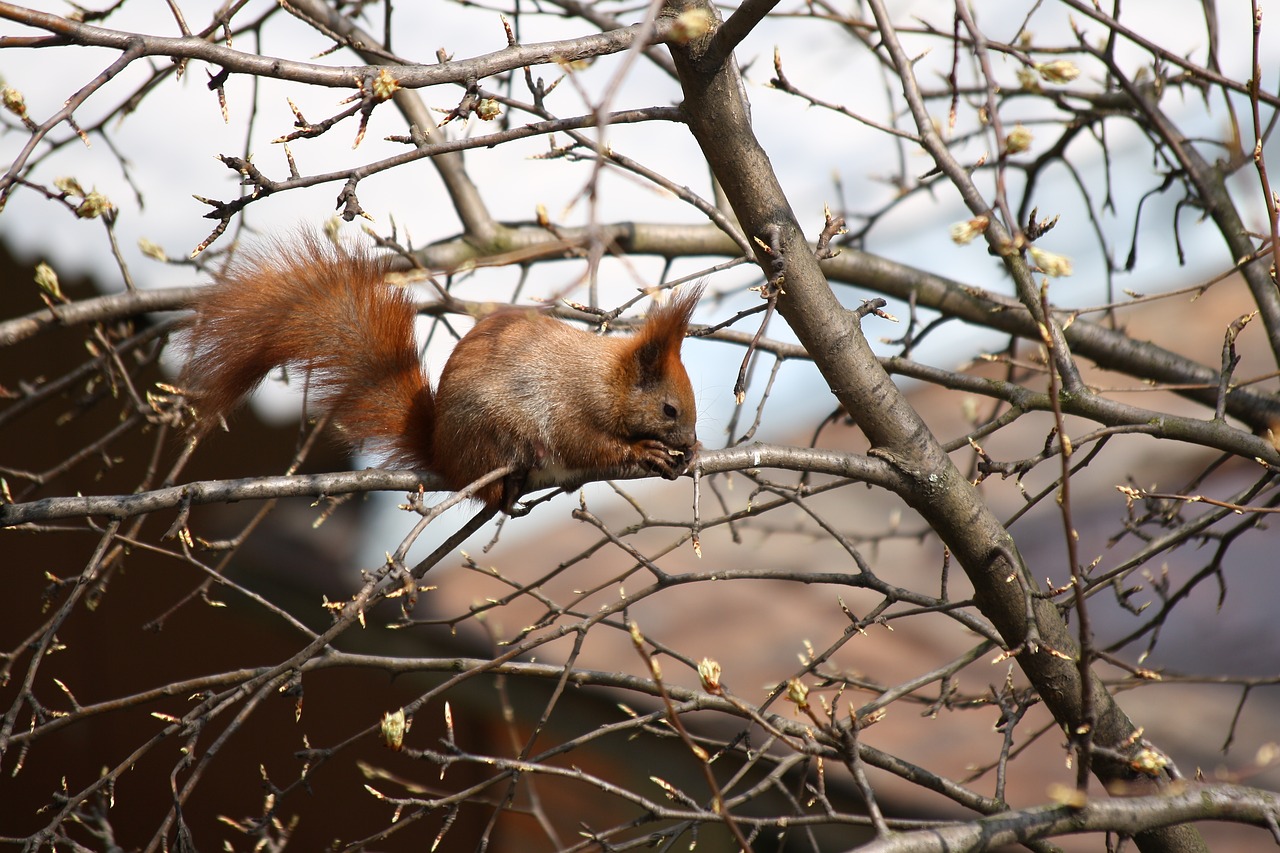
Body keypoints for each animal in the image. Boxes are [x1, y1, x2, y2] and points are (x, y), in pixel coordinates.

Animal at [179, 230, 701, 512]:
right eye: (669, 410)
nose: (691, 440)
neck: (606, 380)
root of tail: (442, 453)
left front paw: (690, 454)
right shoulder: (570, 406)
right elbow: (584, 444)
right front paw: (645, 451)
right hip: (489, 434)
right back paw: (506, 489)